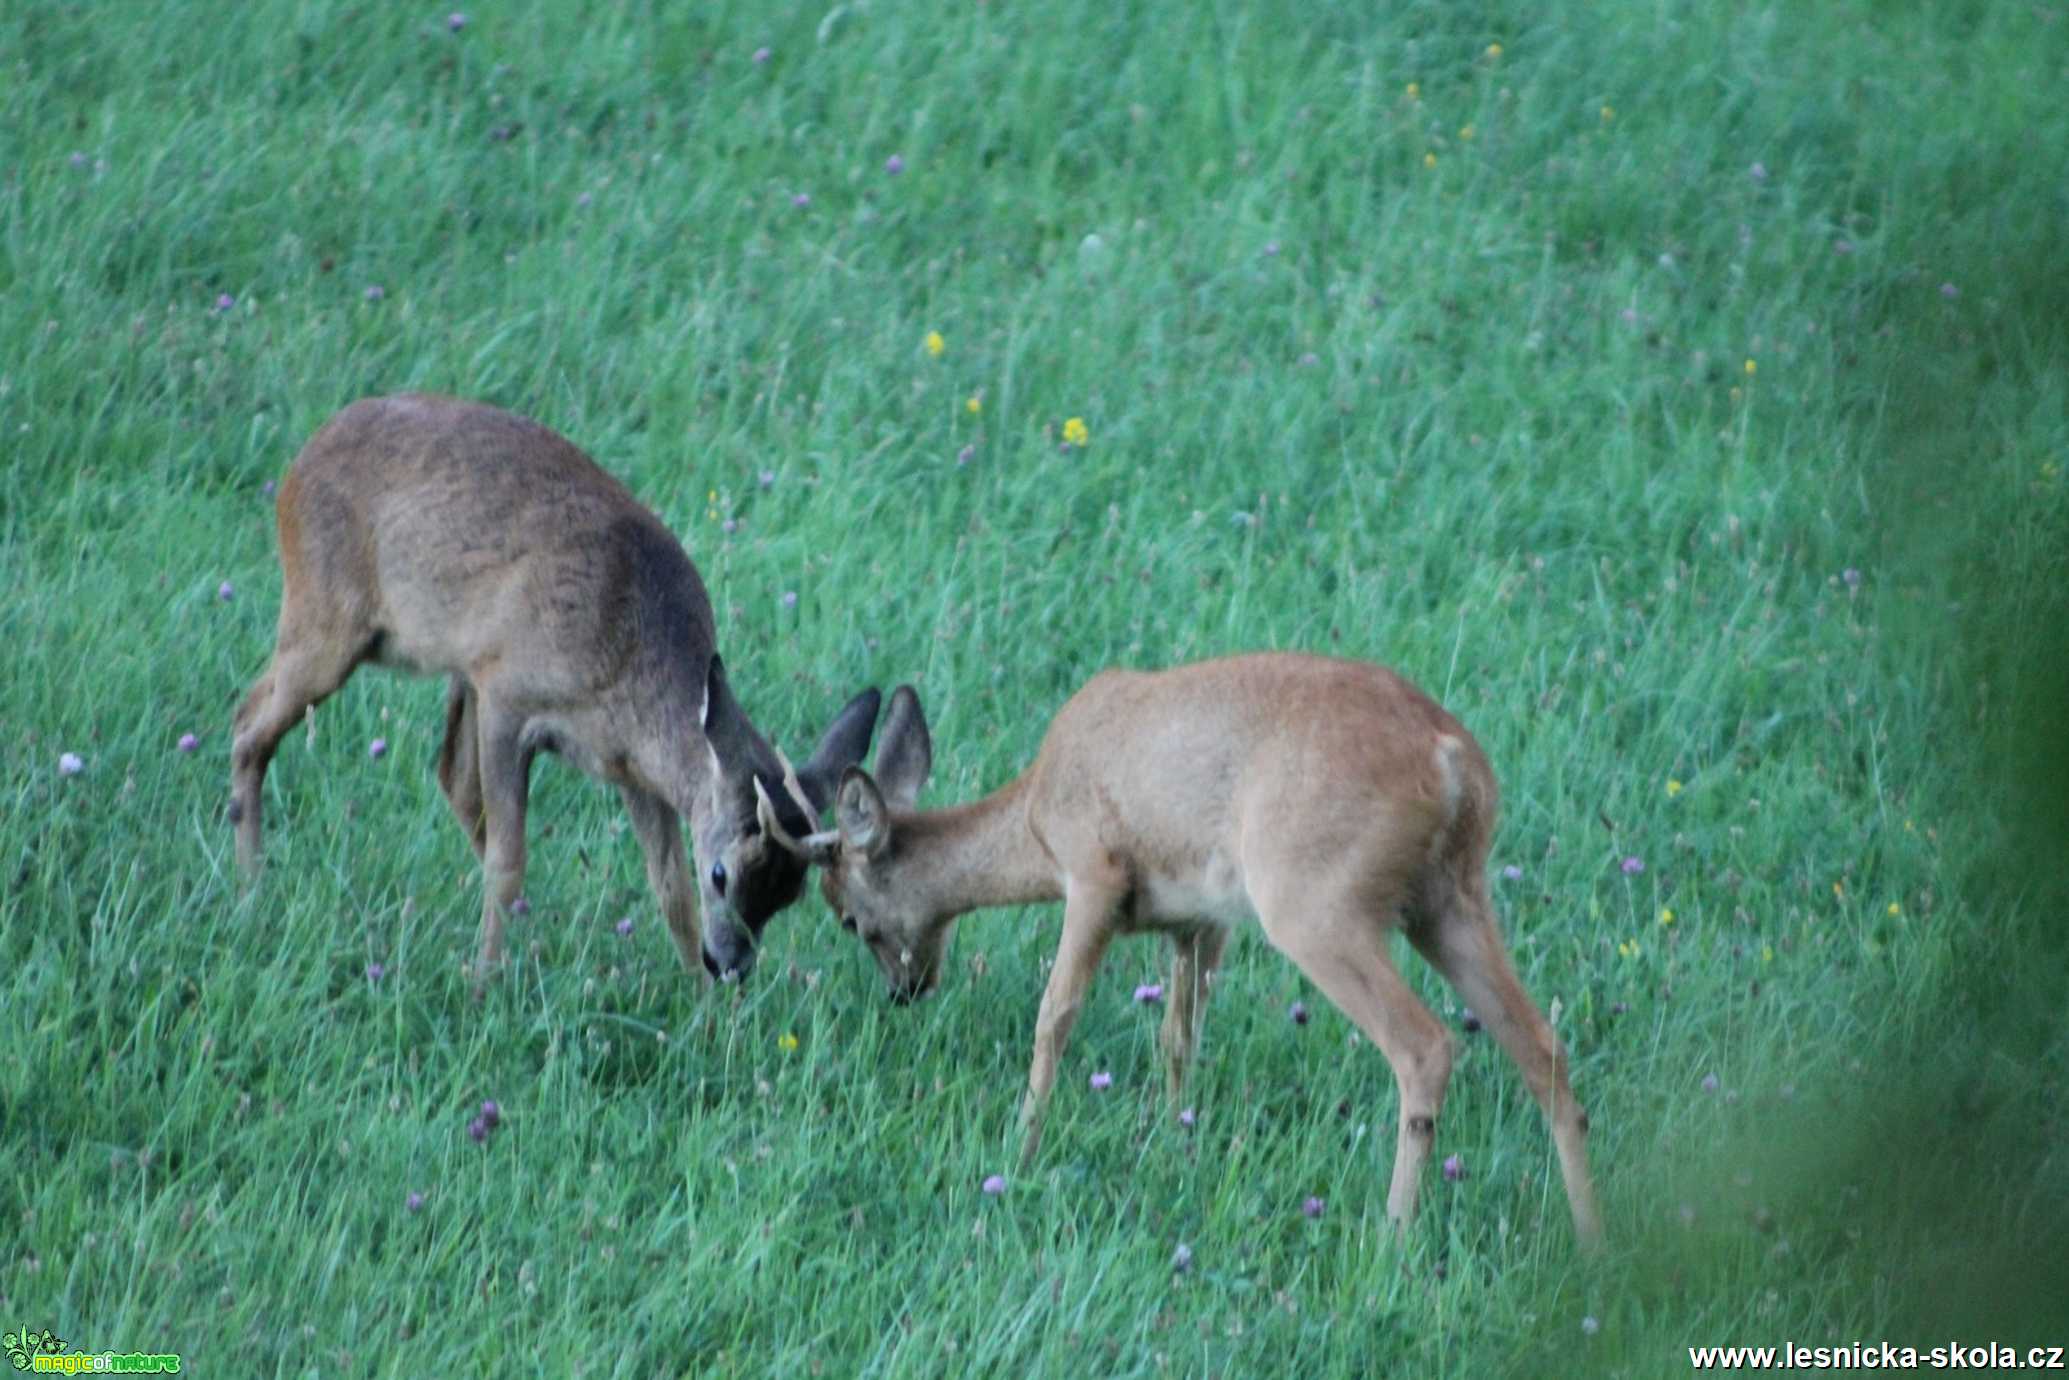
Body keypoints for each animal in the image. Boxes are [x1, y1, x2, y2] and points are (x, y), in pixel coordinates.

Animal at [228, 391, 881, 980]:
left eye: (791, 892)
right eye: (721, 874)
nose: (729, 967)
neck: (629, 654)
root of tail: (300, 463)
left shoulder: (632, 769)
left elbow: (670, 890)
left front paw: (705, 1014)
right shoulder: (507, 698)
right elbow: (509, 860)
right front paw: (484, 986)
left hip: (442, 665)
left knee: (445, 775)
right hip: (326, 619)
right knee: (248, 725)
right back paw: (251, 889)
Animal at [761, 653, 1597, 1249]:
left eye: (847, 917)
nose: (905, 991)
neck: (1034, 816)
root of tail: (1451, 760)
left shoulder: (1093, 873)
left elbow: (1054, 1016)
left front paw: (1020, 1151)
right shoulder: (1199, 919)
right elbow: (1178, 1037)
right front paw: (1173, 1142)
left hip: (1315, 901)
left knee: (1424, 1045)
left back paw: (1393, 1236)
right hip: (1449, 897)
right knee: (1544, 1048)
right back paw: (1593, 1243)